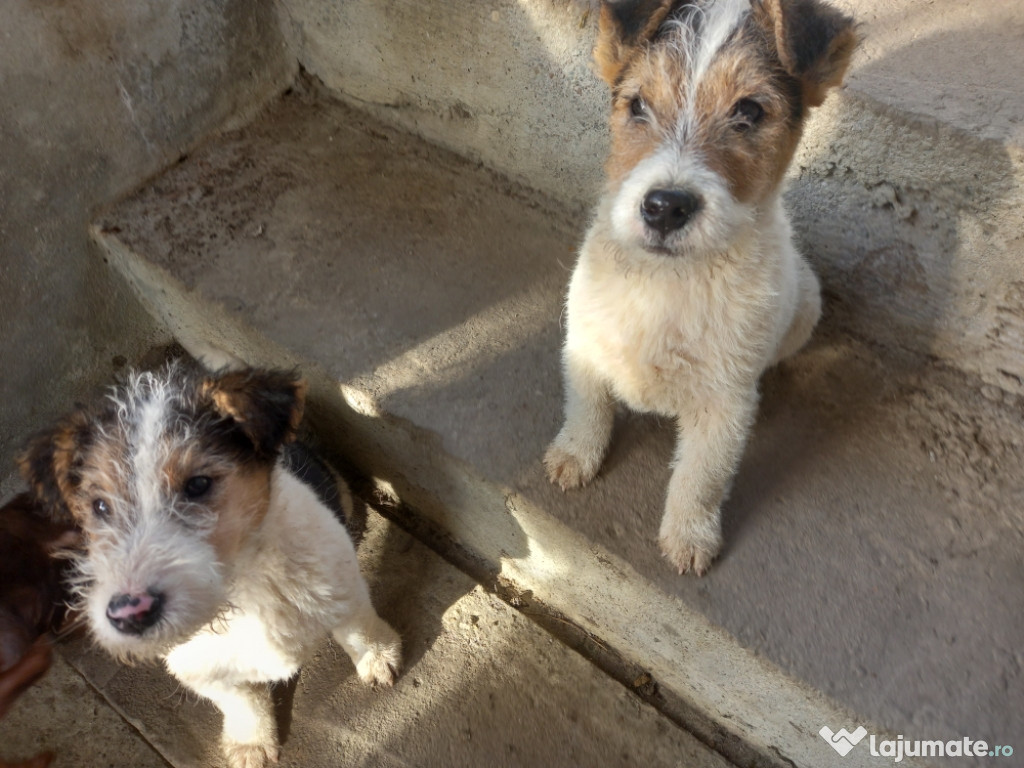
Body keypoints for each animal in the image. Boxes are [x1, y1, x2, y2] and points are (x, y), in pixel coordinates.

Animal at [19, 362, 401, 768]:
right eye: (100, 506)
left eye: (198, 484)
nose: (129, 615)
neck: (243, 591)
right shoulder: (204, 671)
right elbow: (242, 701)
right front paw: (250, 742)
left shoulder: (341, 585)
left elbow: (359, 629)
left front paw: (379, 658)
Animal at [548, 0, 860, 577]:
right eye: (638, 104)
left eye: (750, 111)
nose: (665, 207)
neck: (670, 282)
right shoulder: (584, 349)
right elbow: (586, 410)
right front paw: (574, 457)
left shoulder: (725, 405)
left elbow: (701, 478)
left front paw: (689, 537)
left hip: (806, 305)